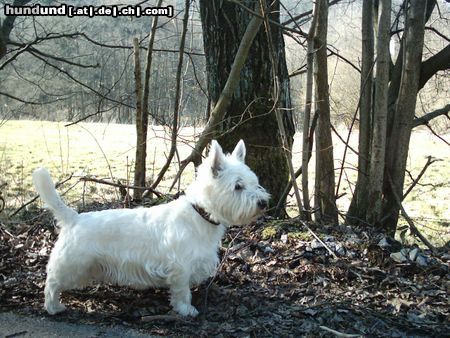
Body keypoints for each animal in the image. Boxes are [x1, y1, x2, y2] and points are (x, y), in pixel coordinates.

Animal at [34, 139, 270, 316]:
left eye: (254, 181)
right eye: (238, 186)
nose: (263, 203)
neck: (200, 214)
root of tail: (73, 218)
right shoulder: (180, 267)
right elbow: (181, 291)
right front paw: (186, 310)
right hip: (72, 262)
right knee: (52, 282)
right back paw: (53, 306)